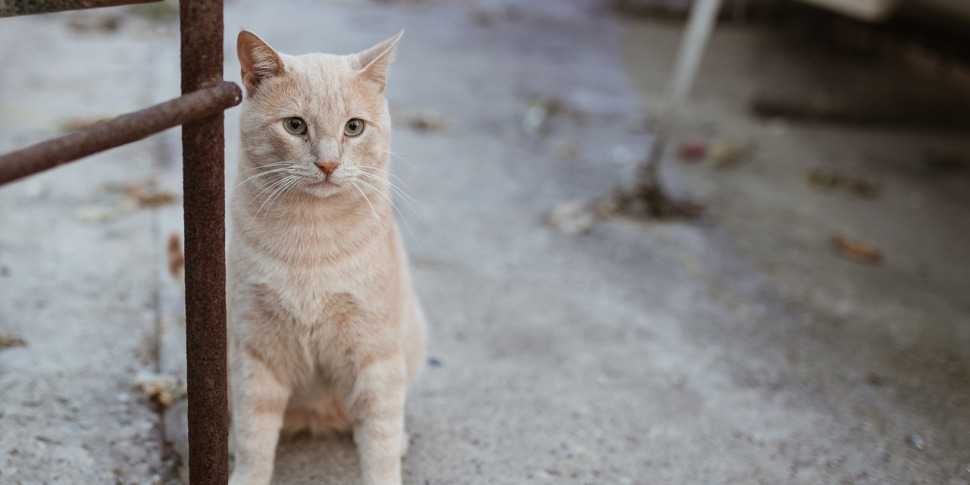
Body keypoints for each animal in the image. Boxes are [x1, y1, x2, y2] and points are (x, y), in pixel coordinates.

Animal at [229, 29, 426, 484]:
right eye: (295, 125)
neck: (311, 241)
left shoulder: (375, 358)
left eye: (353, 127)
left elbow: (380, 442)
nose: (329, 163)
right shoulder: (255, 354)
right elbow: (253, 437)